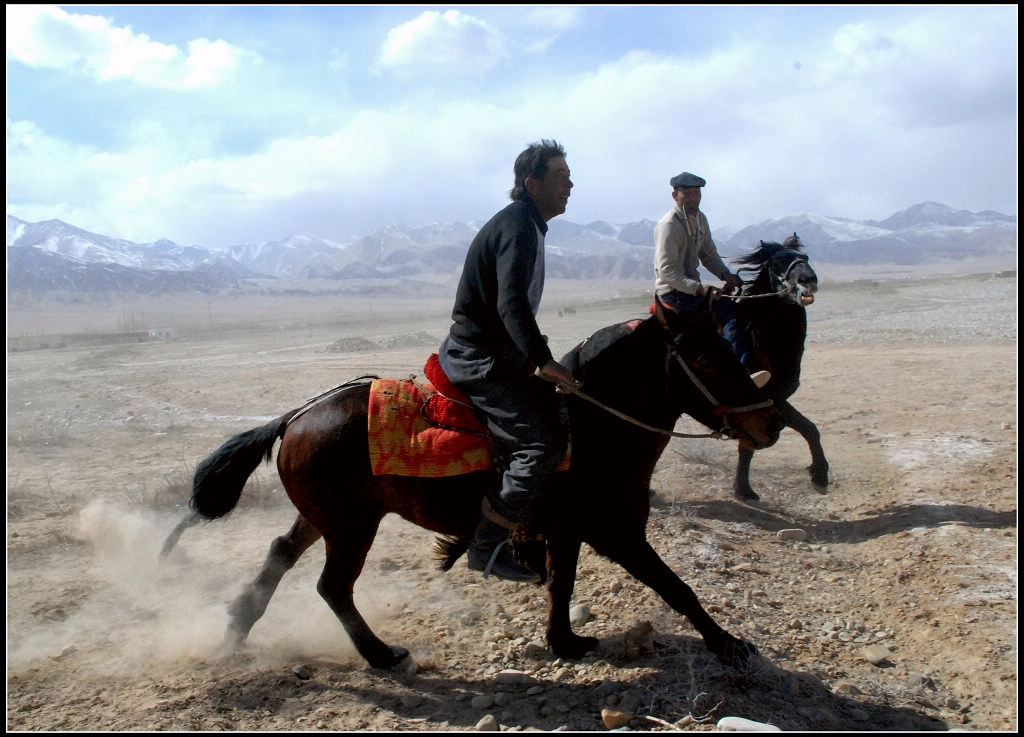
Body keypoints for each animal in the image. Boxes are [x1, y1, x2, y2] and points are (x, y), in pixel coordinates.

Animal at [163, 300, 778, 675]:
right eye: (707, 356)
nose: (768, 423)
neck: (592, 425)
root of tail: (296, 415)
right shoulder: (618, 534)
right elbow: (677, 588)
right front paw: (729, 645)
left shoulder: (567, 533)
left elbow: (561, 587)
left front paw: (566, 643)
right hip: (353, 526)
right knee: (332, 587)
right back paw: (383, 656)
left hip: (324, 518)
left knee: (279, 554)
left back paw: (237, 628)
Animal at [724, 236, 827, 501]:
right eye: (776, 263)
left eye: (805, 258)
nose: (808, 280)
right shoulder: (762, 402)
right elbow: (748, 445)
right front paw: (744, 490)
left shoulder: (777, 399)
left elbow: (810, 429)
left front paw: (820, 477)